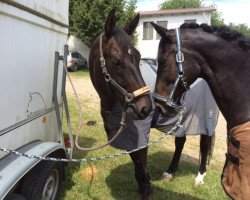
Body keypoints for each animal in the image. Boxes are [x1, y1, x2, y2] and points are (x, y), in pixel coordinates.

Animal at [90, 9, 152, 200]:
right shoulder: (126, 139)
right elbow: (137, 164)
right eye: (117, 62)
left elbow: (142, 165)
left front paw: (146, 188)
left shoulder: (141, 136)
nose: (146, 108)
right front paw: (144, 185)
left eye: (139, 58)